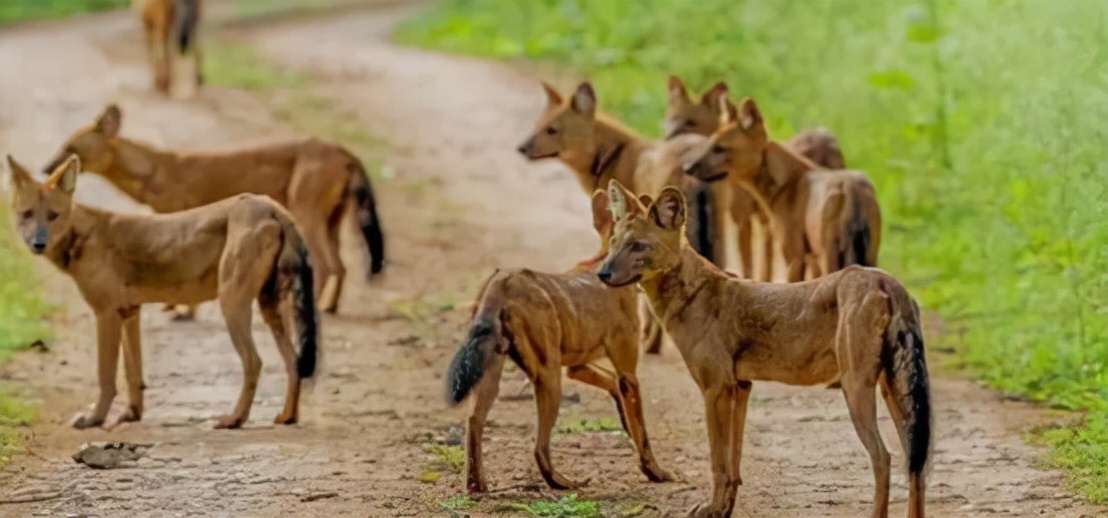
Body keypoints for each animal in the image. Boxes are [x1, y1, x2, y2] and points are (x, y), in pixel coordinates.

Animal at [7, 153, 321, 429]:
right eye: (27, 215)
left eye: (54, 216)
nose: (38, 243)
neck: (83, 235)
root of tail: (270, 205)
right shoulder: (129, 312)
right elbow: (133, 374)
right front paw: (131, 415)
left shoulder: (106, 313)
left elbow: (106, 375)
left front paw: (94, 419)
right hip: (269, 306)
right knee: (294, 362)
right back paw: (287, 417)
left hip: (232, 303)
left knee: (254, 362)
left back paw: (234, 420)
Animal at [46, 103, 385, 318]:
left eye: (71, 148)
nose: (46, 168)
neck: (157, 170)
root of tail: (346, 151)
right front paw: (173, 307)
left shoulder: (182, 218)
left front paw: (183, 310)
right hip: (333, 218)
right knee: (342, 265)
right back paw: (329, 306)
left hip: (307, 212)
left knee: (328, 264)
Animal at [443, 189, 669, 493]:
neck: (602, 259)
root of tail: (502, 281)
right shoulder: (627, 372)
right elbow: (642, 432)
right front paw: (655, 471)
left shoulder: (577, 366)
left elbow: (612, 386)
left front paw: (623, 418)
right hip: (548, 377)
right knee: (539, 447)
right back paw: (566, 482)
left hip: (492, 375)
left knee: (473, 422)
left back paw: (477, 485)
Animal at [602, 179, 930, 518]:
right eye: (614, 243)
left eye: (638, 246)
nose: (603, 273)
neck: (693, 295)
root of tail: (887, 282)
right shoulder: (741, 387)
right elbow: (734, 461)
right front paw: (724, 509)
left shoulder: (716, 388)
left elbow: (718, 459)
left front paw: (711, 508)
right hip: (894, 392)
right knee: (916, 465)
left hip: (856, 389)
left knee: (883, 457)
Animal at [664, 74, 846, 281]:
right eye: (672, 119)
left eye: (691, 122)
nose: (687, 167)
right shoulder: (765, 225)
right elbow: (764, 268)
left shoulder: (743, 220)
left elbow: (751, 266)